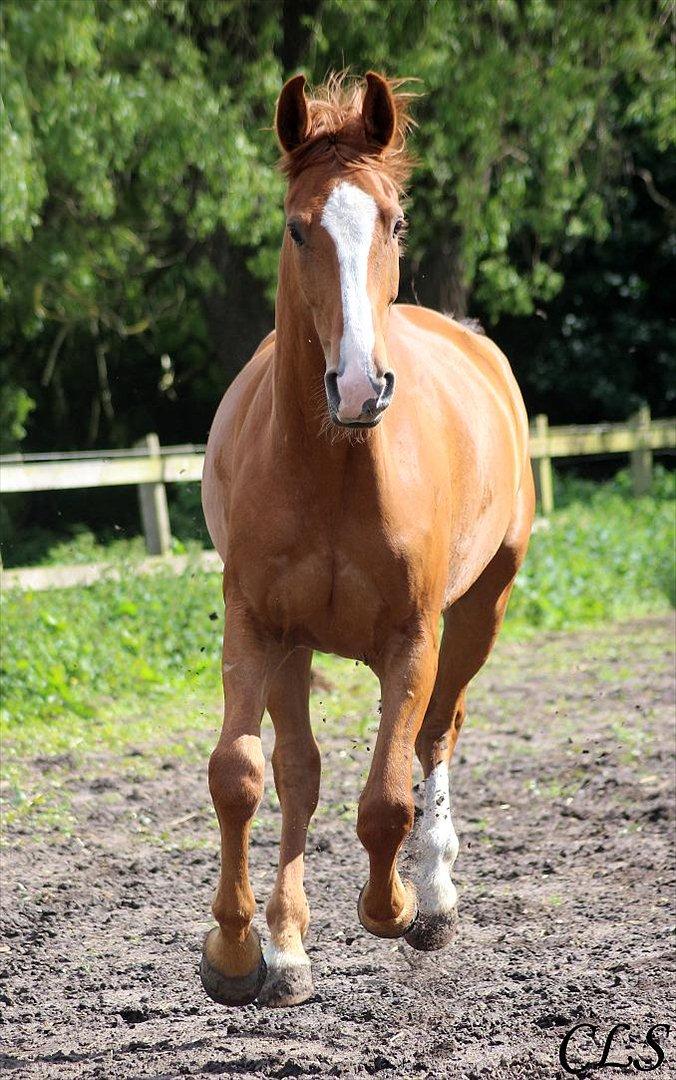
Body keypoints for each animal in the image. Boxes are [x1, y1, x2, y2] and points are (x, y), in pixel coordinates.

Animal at [199, 71, 531, 1006]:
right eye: (296, 226)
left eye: (395, 221)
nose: (358, 385)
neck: (338, 467)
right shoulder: (258, 627)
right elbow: (242, 776)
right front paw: (237, 952)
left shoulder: (412, 638)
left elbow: (387, 798)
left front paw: (397, 907)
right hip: (295, 647)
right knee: (298, 772)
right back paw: (285, 949)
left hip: (482, 610)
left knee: (436, 735)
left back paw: (438, 897)